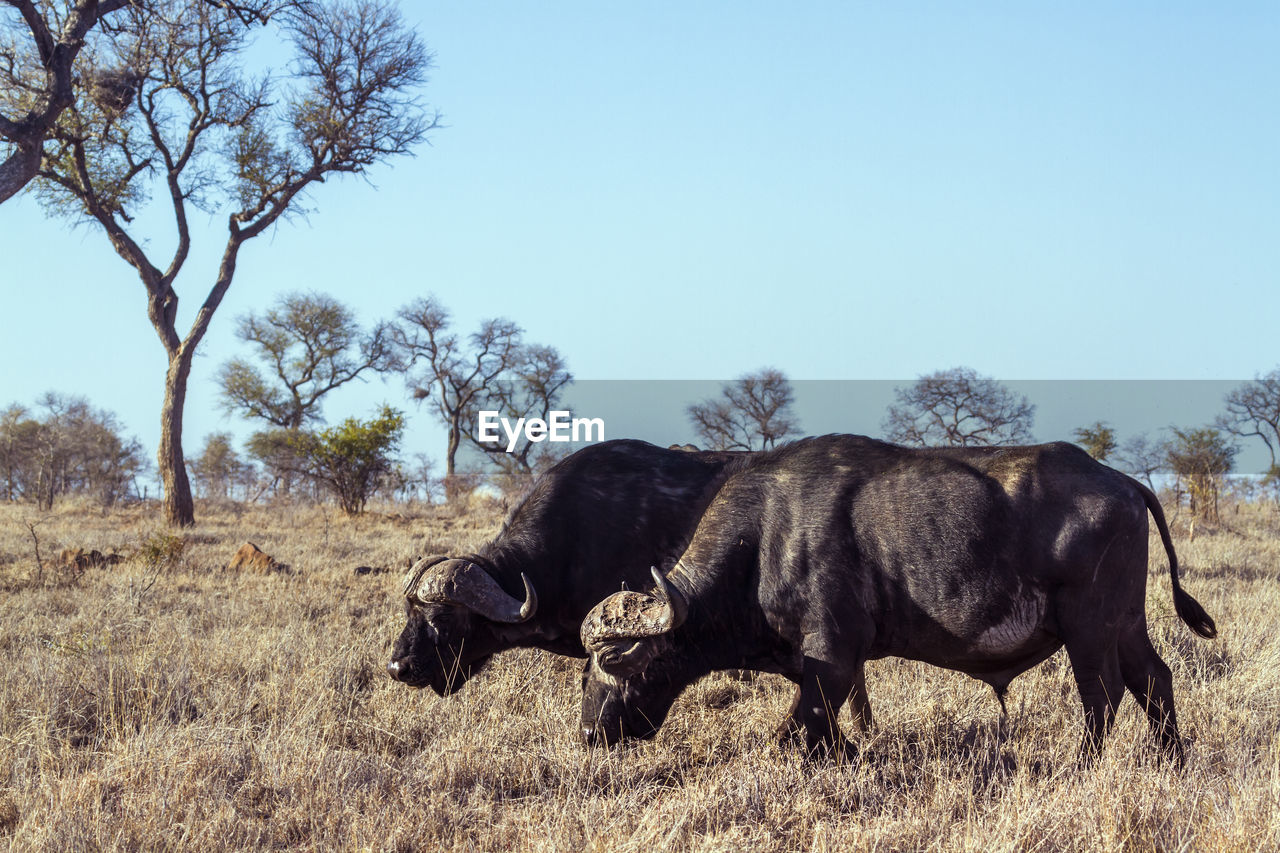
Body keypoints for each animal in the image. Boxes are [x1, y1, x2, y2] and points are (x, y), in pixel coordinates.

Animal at [581, 432, 1218, 758]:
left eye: (610, 662)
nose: (588, 735)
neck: (761, 540)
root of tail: (1123, 481)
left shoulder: (833, 655)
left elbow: (800, 729)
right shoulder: (823, 667)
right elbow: (817, 727)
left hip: (1087, 628)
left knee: (1102, 696)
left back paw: (1082, 765)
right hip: (1125, 623)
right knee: (1153, 680)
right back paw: (1171, 760)